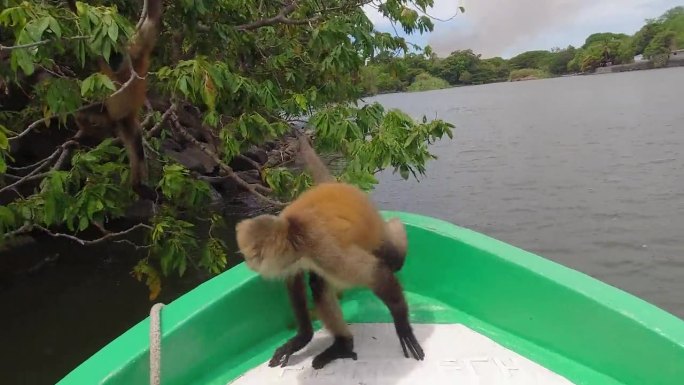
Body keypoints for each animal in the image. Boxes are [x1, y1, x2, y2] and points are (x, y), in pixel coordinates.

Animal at [65, 1, 164, 201]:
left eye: (117, 55)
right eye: (110, 57)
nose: (113, 63)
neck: (122, 72)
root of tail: (115, 120)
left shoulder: (138, 51)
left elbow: (152, 17)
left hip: (126, 121)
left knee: (136, 146)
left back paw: (138, 186)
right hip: (108, 112)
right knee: (82, 114)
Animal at [235, 133, 422, 368]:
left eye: (252, 256)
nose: (248, 263)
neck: (295, 230)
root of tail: (333, 185)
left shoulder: (320, 245)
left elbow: (375, 273)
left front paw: (403, 326)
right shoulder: (296, 256)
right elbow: (294, 281)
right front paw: (302, 338)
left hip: (374, 229)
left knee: (393, 258)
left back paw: (397, 228)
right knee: (319, 285)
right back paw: (343, 344)